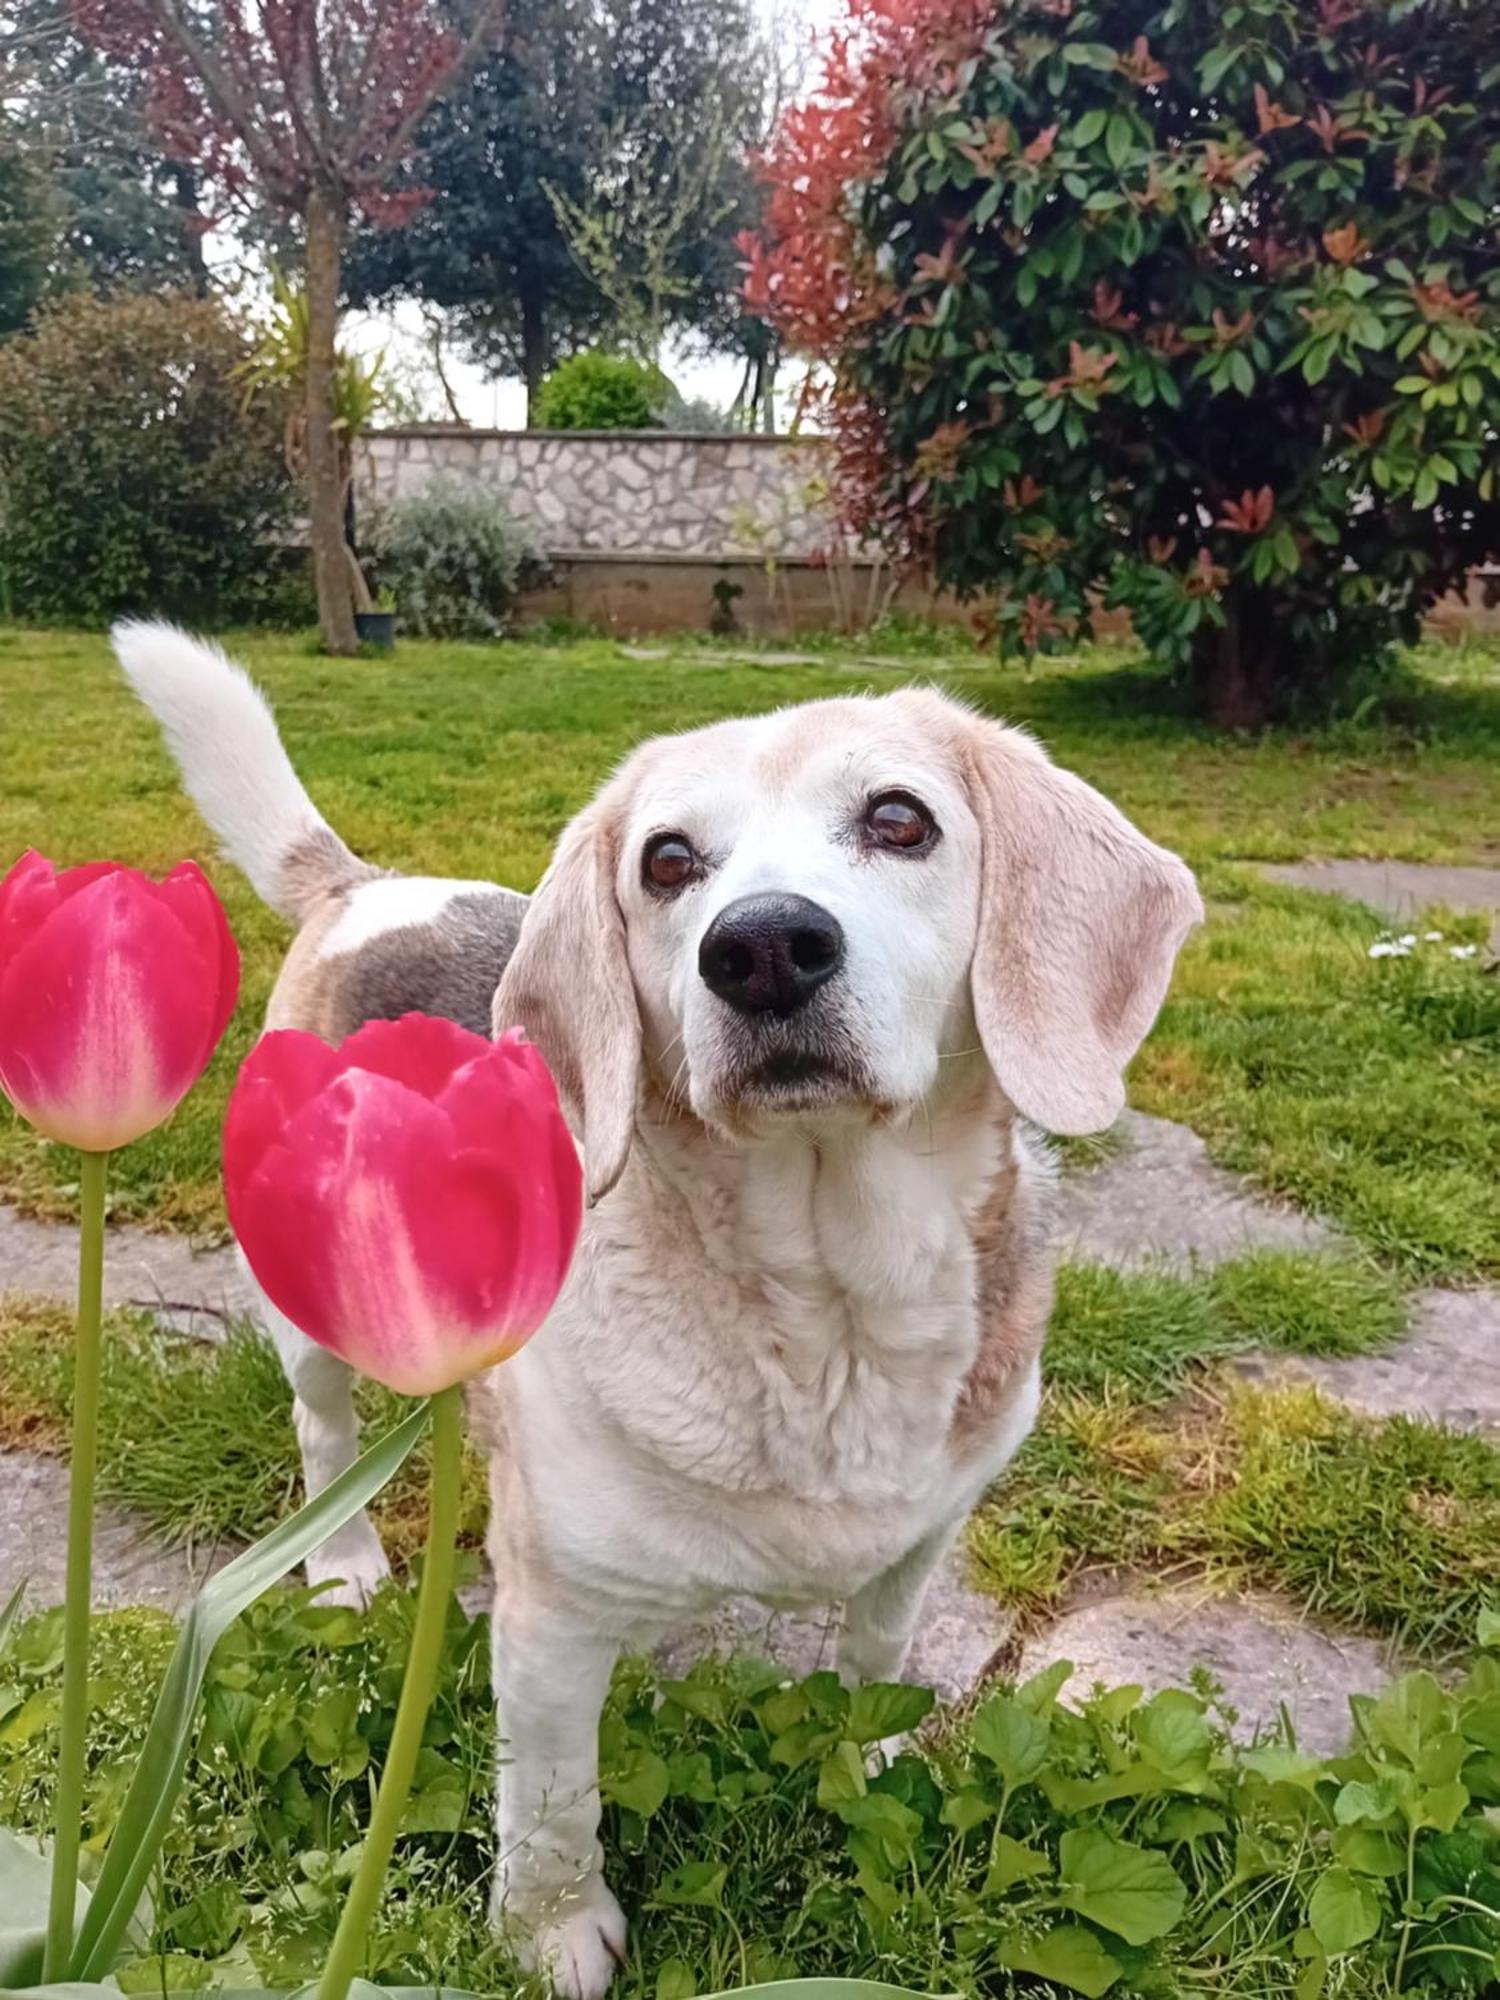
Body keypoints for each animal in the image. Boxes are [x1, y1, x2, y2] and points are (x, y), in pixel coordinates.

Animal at [114, 616, 1200, 1992]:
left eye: (901, 820)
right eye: (668, 860)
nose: (764, 946)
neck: (828, 1309)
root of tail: (364, 888)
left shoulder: (918, 1544)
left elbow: (873, 1660)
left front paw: (868, 1763)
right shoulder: (549, 1626)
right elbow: (555, 1802)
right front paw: (552, 1932)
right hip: (303, 1304)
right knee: (325, 1427)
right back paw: (345, 1562)